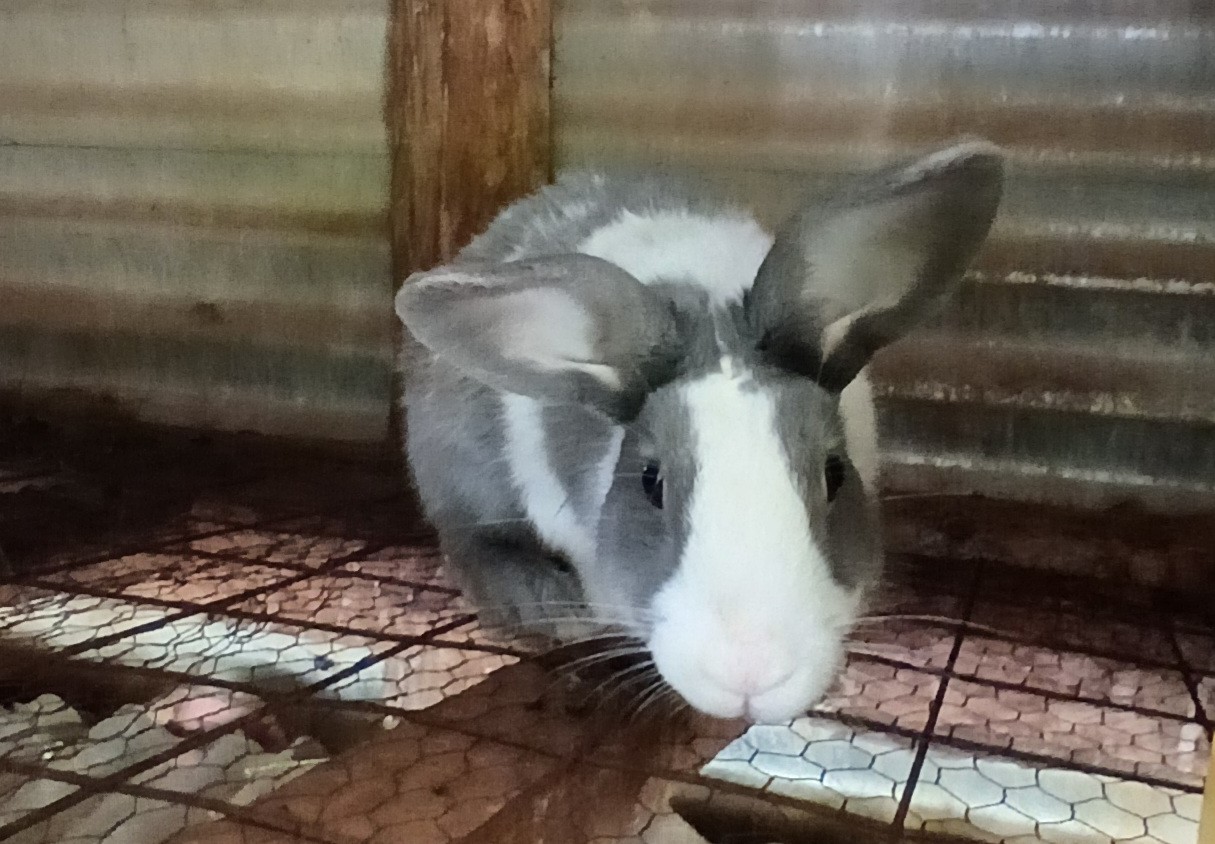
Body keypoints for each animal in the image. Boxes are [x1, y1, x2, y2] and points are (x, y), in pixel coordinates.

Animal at [394, 139, 1003, 724]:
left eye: (834, 475)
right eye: (652, 483)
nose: (752, 674)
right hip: (458, 469)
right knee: (469, 542)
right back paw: (545, 600)